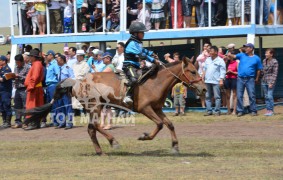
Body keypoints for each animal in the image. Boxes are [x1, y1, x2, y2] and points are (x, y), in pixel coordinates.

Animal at [25, 57, 206, 155]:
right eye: (192, 71)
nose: (204, 88)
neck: (156, 81)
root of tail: (77, 81)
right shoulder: (146, 109)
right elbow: (161, 124)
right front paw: (144, 136)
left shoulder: (157, 109)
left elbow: (169, 124)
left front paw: (175, 146)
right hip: (95, 106)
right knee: (96, 126)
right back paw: (114, 142)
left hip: (94, 108)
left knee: (91, 129)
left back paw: (100, 151)